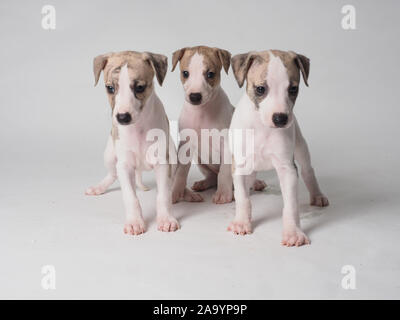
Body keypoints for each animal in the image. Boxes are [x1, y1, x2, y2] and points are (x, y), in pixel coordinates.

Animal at [86, 50, 180, 235]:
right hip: (110, 155)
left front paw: (166, 219)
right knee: (112, 174)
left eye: (140, 87)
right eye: (110, 88)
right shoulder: (124, 165)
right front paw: (135, 222)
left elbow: (163, 195)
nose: (122, 117)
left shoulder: (162, 163)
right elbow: (131, 197)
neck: (139, 127)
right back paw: (99, 187)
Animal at [171, 46, 266, 204]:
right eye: (185, 73)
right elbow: (181, 171)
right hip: (201, 161)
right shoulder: (186, 144)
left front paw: (224, 194)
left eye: (210, 74)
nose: (195, 96)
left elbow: (224, 171)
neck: (202, 111)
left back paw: (256, 183)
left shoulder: (226, 145)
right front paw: (175, 192)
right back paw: (203, 183)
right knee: (212, 177)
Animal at [230, 50, 330, 246]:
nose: (280, 118)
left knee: (308, 171)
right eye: (260, 89)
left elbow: (291, 205)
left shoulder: (287, 168)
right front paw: (241, 222)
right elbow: (243, 198)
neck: (262, 126)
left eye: (293, 89)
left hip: (300, 147)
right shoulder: (240, 166)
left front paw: (293, 232)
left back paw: (317, 195)